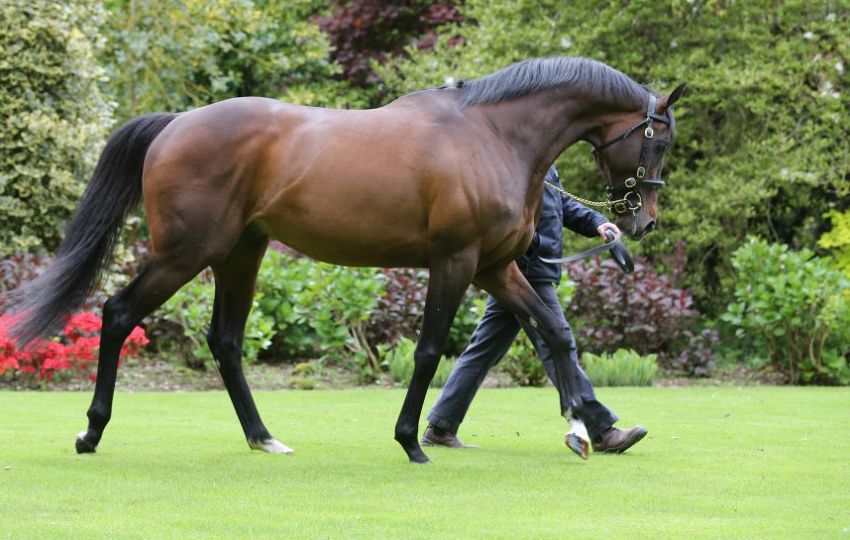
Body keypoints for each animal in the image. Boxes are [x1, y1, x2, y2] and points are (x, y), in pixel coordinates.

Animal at [6, 57, 684, 463]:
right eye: (658, 140)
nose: (642, 219)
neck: (491, 135)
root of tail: (176, 124)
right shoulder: (456, 262)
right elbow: (430, 351)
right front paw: (411, 442)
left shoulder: (495, 267)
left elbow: (553, 335)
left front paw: (584, 428)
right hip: (184, 253)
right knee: (119, 315)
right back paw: (91, 432)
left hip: (240, 254)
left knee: (225, 341)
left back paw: (264, 438)